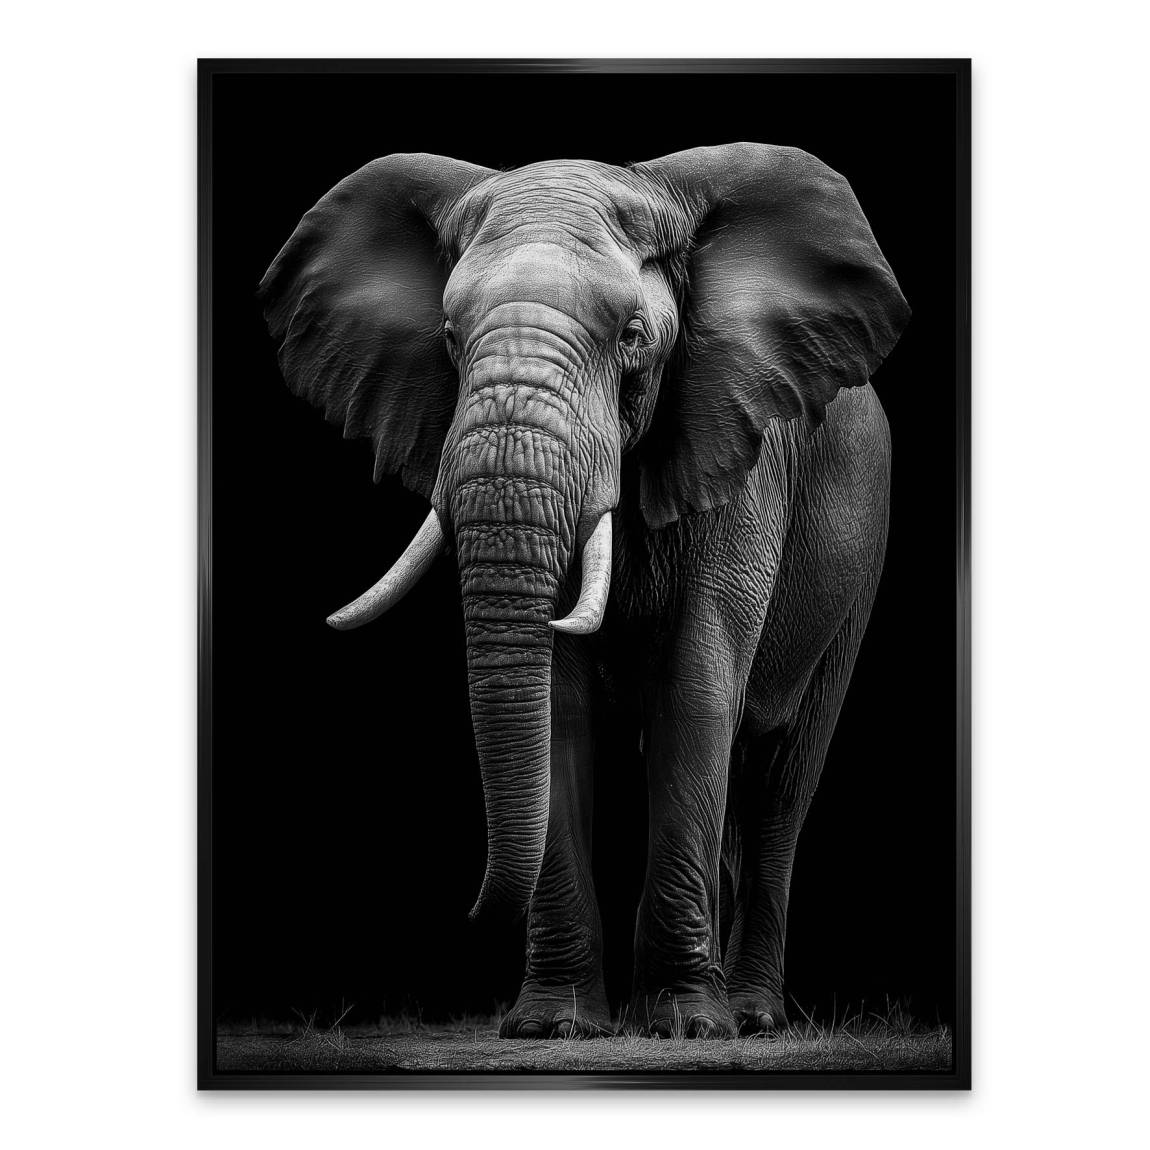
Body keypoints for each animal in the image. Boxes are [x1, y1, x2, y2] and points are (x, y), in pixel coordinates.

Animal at [260, 143, 909, 1039]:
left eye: (633, 337)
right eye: (450, 339)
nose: (463, 912)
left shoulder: (736, 452)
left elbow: (697, 686)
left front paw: (686, 1027)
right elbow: (558, 706)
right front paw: (553, 1025)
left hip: (860, 550)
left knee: (781, 777)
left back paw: (749, 1015)